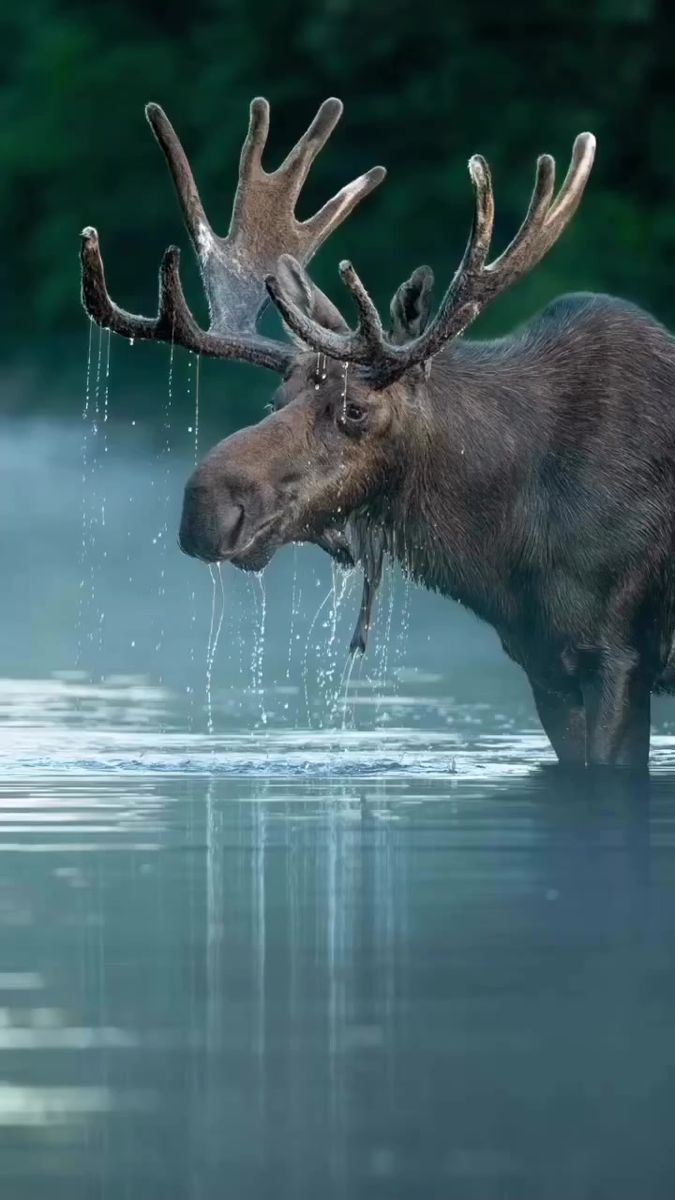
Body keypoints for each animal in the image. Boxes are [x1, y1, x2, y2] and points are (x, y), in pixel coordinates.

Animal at [78, 93, 675, 768]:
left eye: (356, 409)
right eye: (276, 397)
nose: (204, 507)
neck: (500, 543)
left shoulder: (619, 654)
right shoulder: (545, 666)